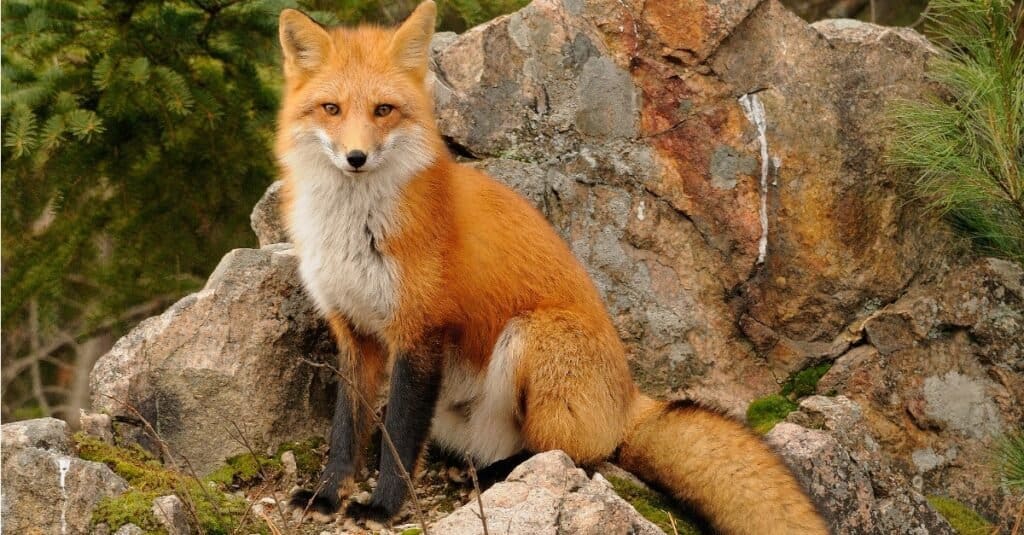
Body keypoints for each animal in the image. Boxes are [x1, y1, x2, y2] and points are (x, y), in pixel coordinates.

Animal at [274, 2, 831, 528]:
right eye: (332, 109)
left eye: (383, 110)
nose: (356, 157)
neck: (355, 230)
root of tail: (629, 399)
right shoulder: (354, 331)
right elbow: (346, 431)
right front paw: (327, 496)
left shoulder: (420, 330)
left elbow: (400, 440)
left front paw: (384, 507)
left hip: (534, 337)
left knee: (570, 454)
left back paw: (501, 475)